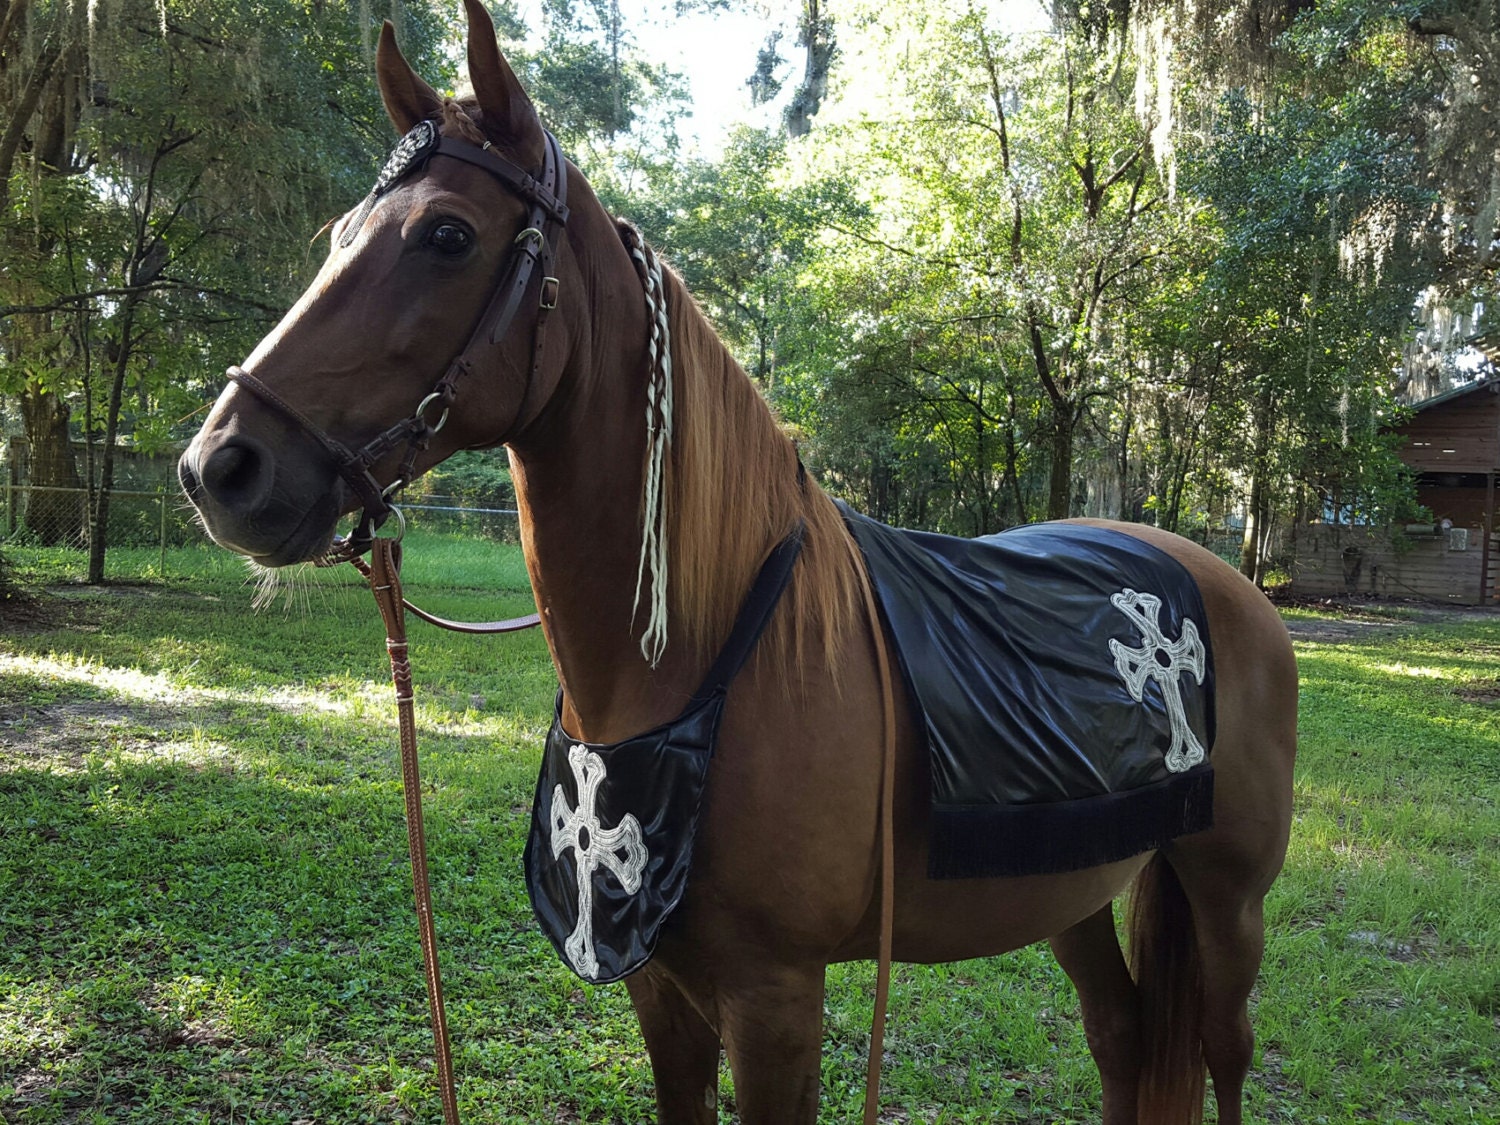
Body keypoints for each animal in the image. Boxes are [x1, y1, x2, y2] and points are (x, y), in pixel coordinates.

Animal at [178, 4, 1297, 1121]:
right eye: (338, 237)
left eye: (447, 234)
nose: (220, 468)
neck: (717, 656)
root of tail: (1212, 576)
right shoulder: (662, 987)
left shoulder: (775, 999)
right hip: (1074, 887)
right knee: (1121, 1035)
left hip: (1228, 898)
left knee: (1219, 1046)